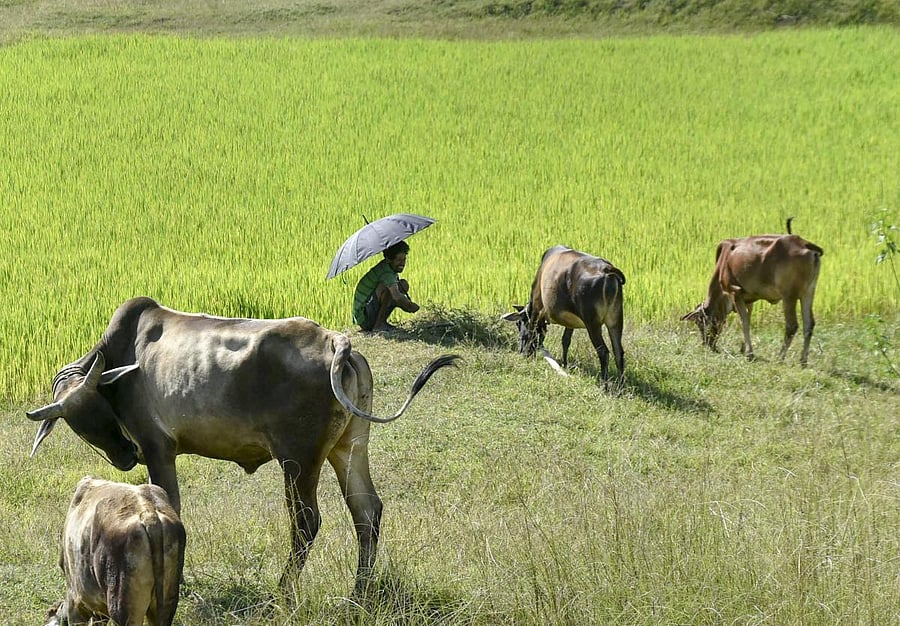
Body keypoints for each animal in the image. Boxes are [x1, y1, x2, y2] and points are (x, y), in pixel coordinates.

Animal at [27, 297, 460, 596]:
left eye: (98, 407)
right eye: (75, 422)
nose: (122, 456)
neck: (122, 354)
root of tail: (336, 342)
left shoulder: (157, 448)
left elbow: (172, 506)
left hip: (298, 459)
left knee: (306, 522)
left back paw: (283, 592)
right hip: (348, 447)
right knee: (366, 511)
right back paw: (359, 592)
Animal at [502, 246, 626, 383]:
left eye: (518, 323)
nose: (521, 351)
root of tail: (607, 270)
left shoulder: (536, 308)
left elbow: (531, 334)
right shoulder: (569, 321)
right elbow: (565, 340)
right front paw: (564, 364)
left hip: (592, 323)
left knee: (603, 352)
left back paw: (604, 384)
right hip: (615, 320)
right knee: (618, 352)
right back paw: (621, 385)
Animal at [681, 221, 824, 365]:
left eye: (700, 322)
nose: (708, 344)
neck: (724, 262)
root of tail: (805, 244)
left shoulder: (736, 293)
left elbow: (744, 322)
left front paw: (749, 354)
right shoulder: (748, 299)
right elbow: (748, 320)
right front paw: (744, 349)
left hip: (789, 296)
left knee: (792, 326)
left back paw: (780, 357)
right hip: (808, 293)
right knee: (809, 325)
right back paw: (803, 360)